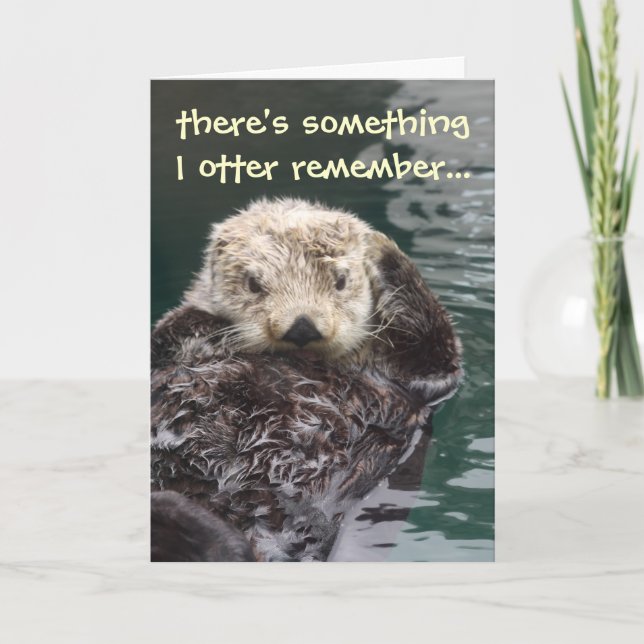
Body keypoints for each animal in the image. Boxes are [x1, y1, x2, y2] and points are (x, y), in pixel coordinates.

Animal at [151, 198, 462, 561]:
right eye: (253, 284)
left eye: (341, 281)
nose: (302, 327)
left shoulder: (421, 380)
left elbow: (436, 352)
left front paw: (381, 249)